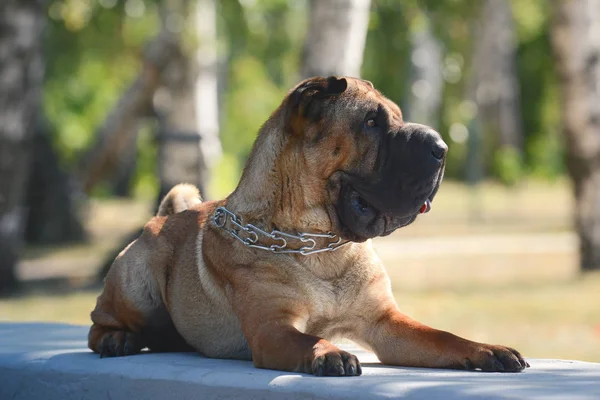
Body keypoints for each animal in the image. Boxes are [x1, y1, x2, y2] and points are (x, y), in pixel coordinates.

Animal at [86, 76, 528, 376]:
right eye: (370, 122)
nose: (441, 147)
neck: (319, 243)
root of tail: (160, 217)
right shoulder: (272, 329)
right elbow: (308, 337)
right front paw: (330, 352)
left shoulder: (385, 323)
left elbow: (443, 337)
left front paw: (489, 350)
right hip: (137, 284)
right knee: (98, 325)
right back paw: (119, 339)